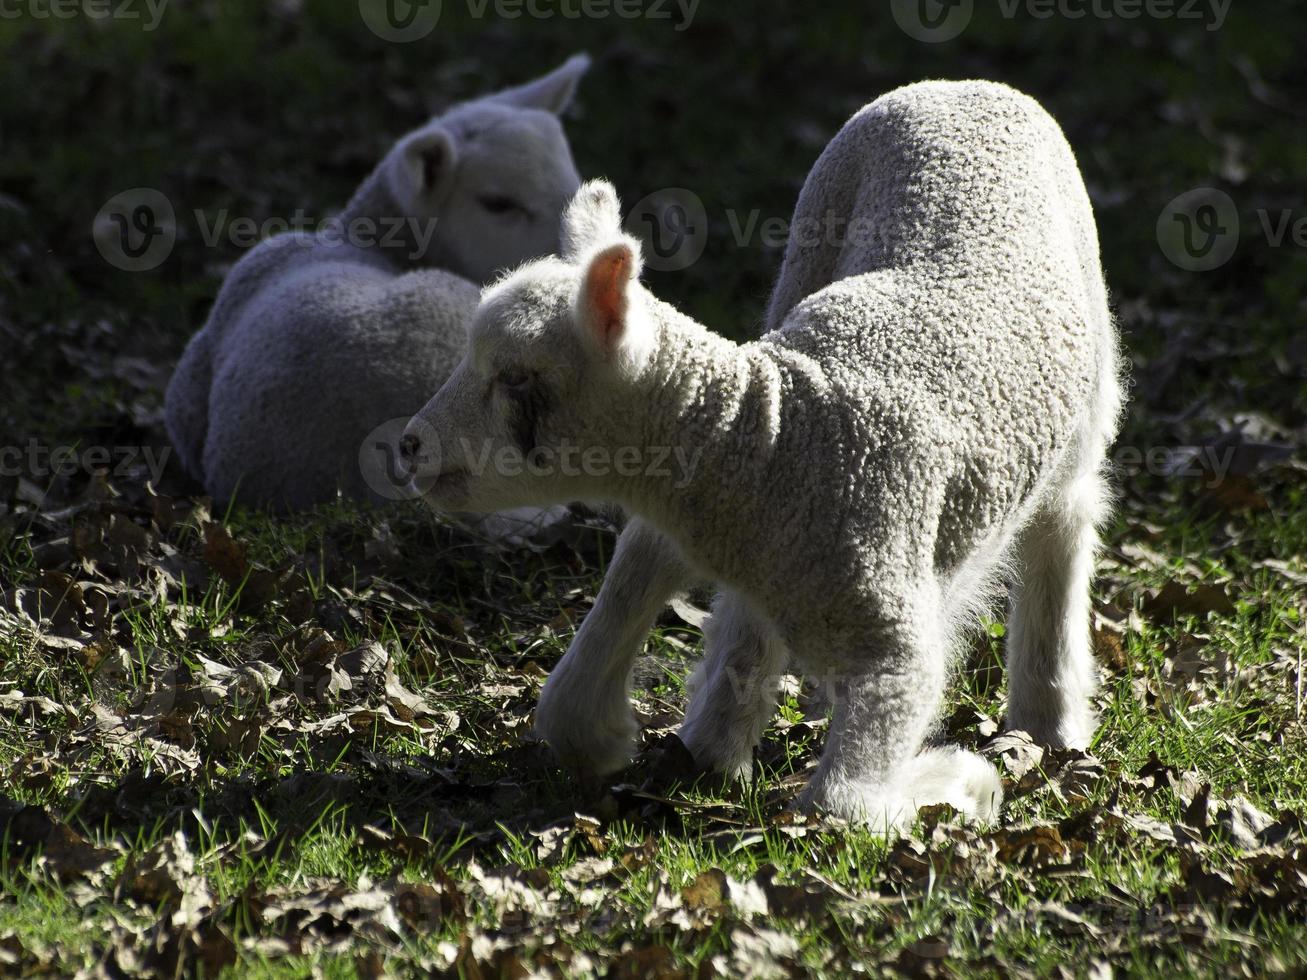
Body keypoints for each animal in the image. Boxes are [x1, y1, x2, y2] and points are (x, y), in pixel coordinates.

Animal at [394, 80, 1124, 831]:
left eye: (516, 378)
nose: (410, 445)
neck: (771, 441)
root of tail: (963, 86)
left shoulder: (898, 651)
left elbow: (842, 807)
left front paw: (965, 781)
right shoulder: (696, 521)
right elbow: (620, 615)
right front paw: (618, 739)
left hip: (1090, 387)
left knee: (1066, 525)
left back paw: (1048, 720)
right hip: (803, 256)